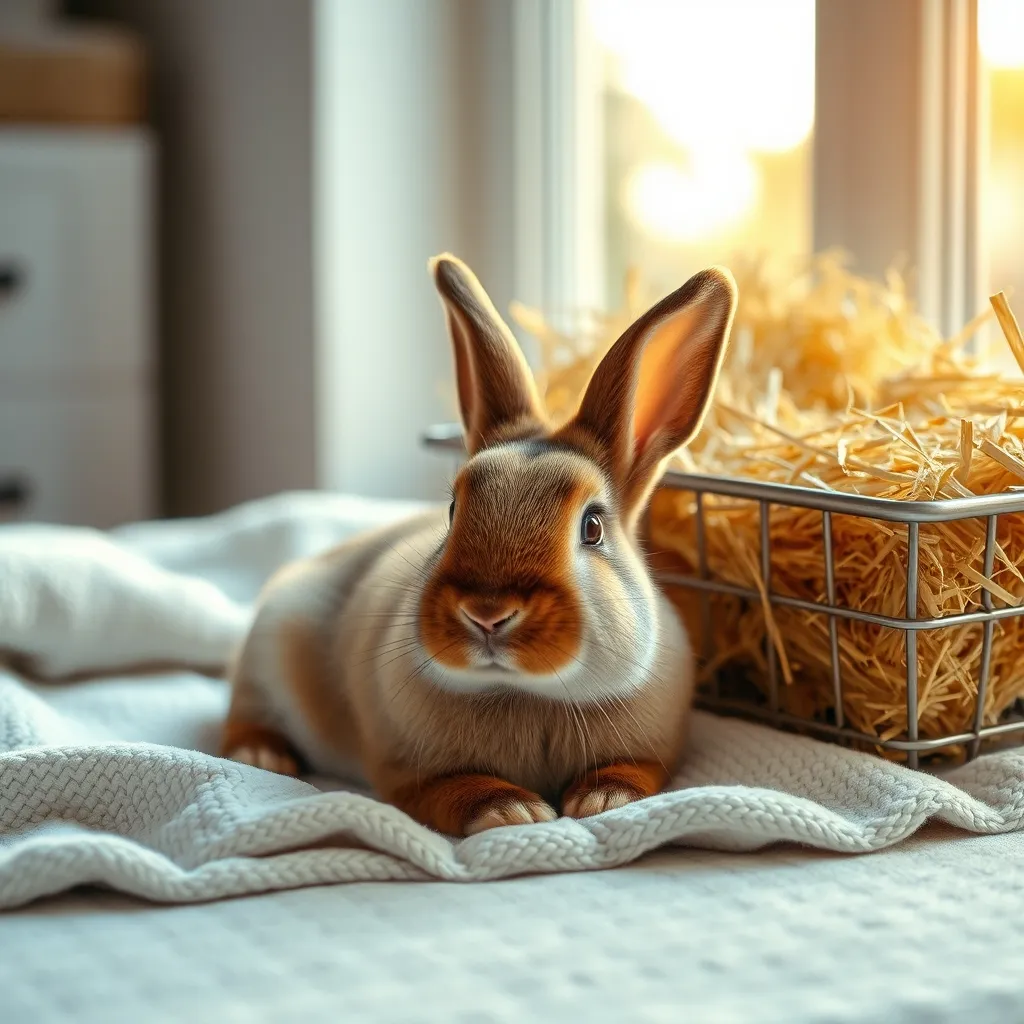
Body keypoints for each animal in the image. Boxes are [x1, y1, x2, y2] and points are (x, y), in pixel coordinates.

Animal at [221, 253, 737, 836]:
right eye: (452, 512)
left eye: (593, 528)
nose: (488, 613)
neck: (528, 693)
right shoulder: (407, 771)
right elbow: (452, 788)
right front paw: (513, 810)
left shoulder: (655, 752)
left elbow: (633, 772)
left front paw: (603, 800)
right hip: (266, 653)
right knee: (244, 716)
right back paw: (263, 755)